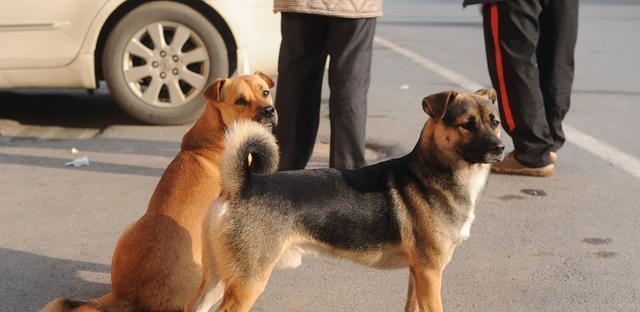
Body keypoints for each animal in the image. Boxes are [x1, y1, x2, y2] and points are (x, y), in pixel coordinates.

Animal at [42, 72, 278, 310]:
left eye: (265, 92)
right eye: (240, 101)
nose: (269, 110)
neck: (218, 134)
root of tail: (127, 296)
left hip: (129, 229)